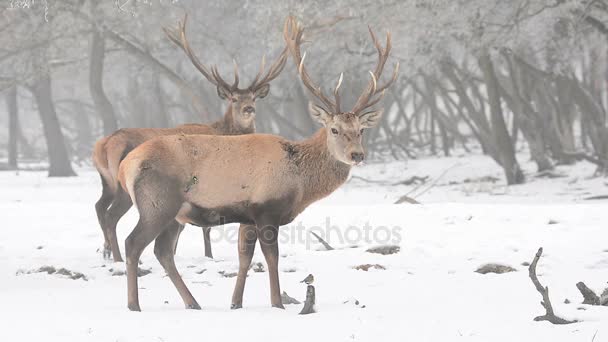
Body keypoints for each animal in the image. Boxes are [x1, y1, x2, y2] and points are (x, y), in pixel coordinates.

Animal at [92, 14, 288, 262]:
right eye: (233, 98)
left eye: (253, 97)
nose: (249, 109)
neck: (223, 131)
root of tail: (104, 145)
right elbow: (204, 226)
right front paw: (208, 256)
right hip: (124, 187)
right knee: (112, 216)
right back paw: (117, 257)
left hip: (107, 181)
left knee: (99, 207)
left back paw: (107, 251)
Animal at [117, 15, 400, 310]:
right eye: (334, 129)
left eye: (361, 130)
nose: (357, 154)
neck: (299, 183)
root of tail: (125, 166)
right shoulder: (267, 208)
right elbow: (272, 258)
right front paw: (278, 303)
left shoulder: (247, 216)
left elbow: (244, 258)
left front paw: (236, 303)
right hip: (157, 203)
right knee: (133, 243)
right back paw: (134, 305)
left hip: (175, 213)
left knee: (162, 251)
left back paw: (192, 303)